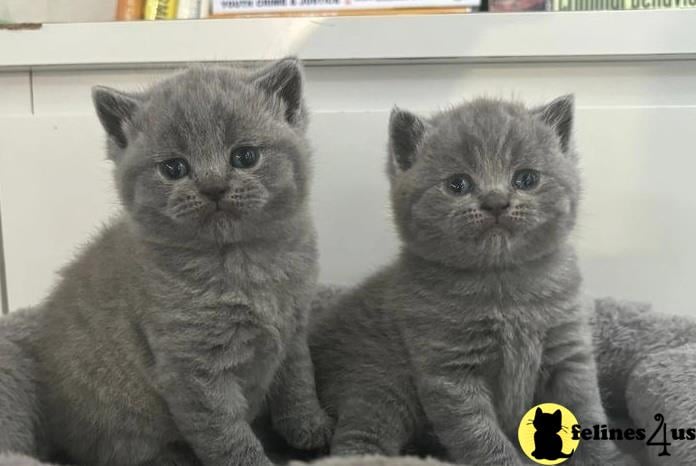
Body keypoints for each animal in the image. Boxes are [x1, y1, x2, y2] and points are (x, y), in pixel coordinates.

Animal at [0, 58, 330, 466]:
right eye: (174, 168)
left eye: (245, 156)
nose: (213, 186)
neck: (243, 261)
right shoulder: (193, 370)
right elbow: (227, 435)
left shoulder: (294, 331)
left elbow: (299, 381)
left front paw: (311, 428)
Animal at [310, 96, 636, 464]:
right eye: (458, 184)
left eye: (526, 179)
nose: (496, 201)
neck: (504, 286)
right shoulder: (450, 372)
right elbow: (480, 438)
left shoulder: (568, 353)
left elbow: (587, 413)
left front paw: (608, 459)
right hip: (376, 383)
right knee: (356, 440)